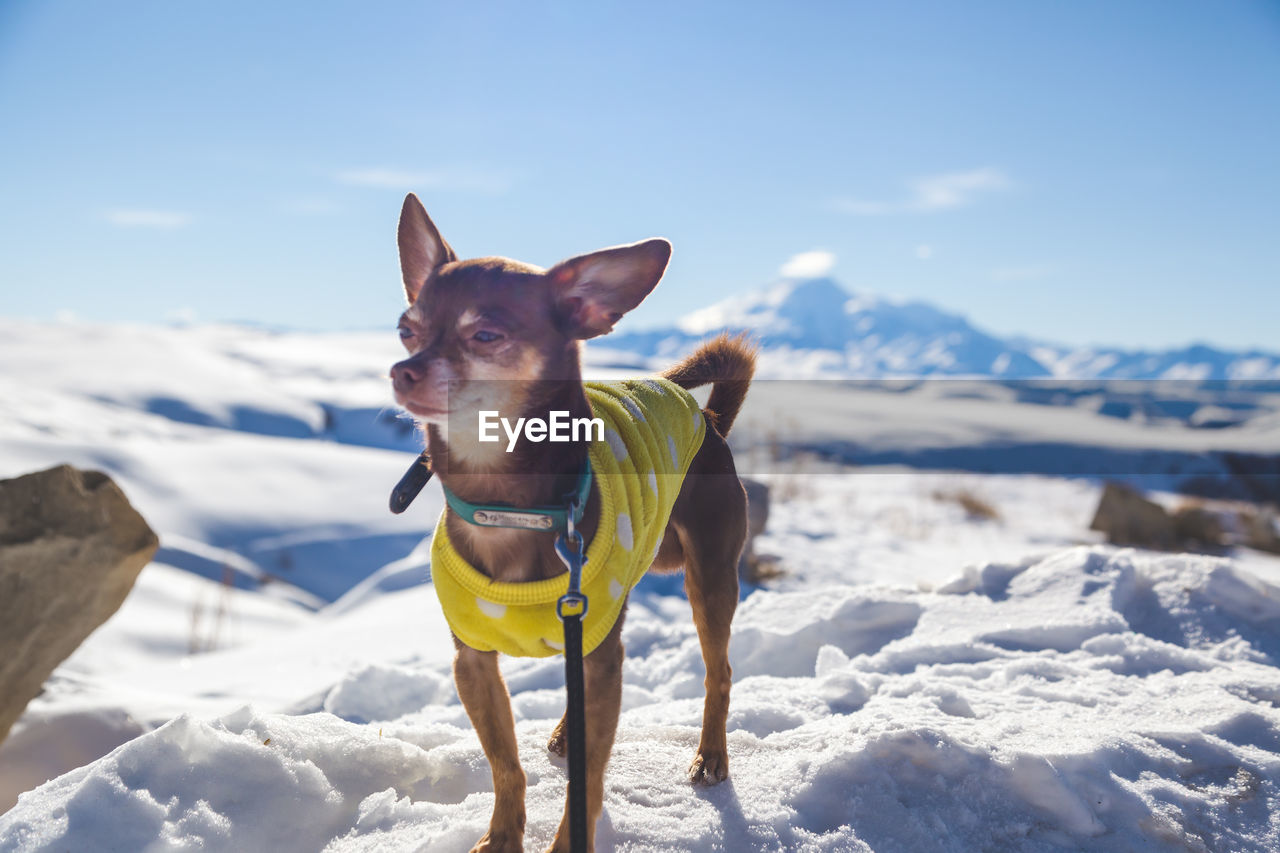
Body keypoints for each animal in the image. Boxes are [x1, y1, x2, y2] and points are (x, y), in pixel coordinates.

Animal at [384, 194, 752, 850]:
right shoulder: (473, 662)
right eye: (408, 330)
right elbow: (505, 764)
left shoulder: (603, 655)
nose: (404, 370)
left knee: (719, 672)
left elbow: (589, 776)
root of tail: (708, 418)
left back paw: (711, 756)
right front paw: (502, 837)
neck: (505, 504)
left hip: (709, 578)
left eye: (486, 334)